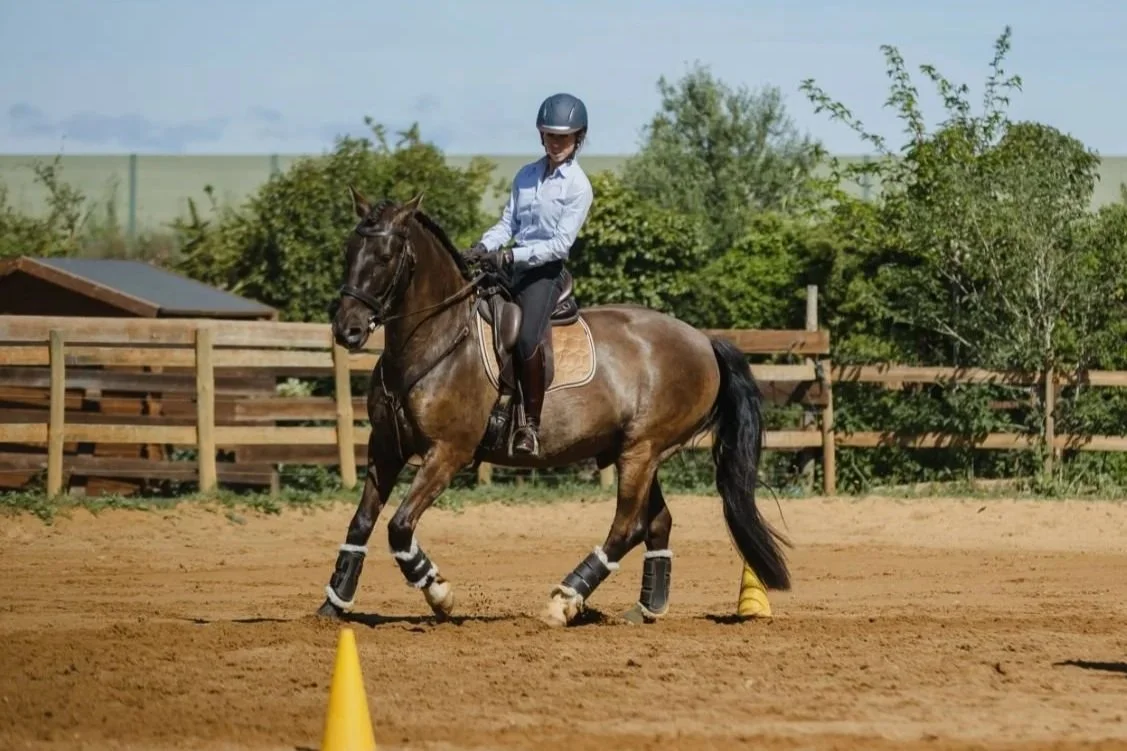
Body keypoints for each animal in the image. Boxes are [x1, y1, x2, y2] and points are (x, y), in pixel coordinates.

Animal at [315, 187, 791, 627]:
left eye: (386, 255)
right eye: (349, 251)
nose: (347, 329)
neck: (436, 341)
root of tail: (704, 341)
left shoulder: (448, 453)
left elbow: (399, 527)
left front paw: (440, 594)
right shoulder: (385, 448)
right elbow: (362, 521)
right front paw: (333, 604)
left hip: (642, 450)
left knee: (627, 526)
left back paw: (564, 601)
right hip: (638, 452)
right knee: (656, 523)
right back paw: (645, 607)